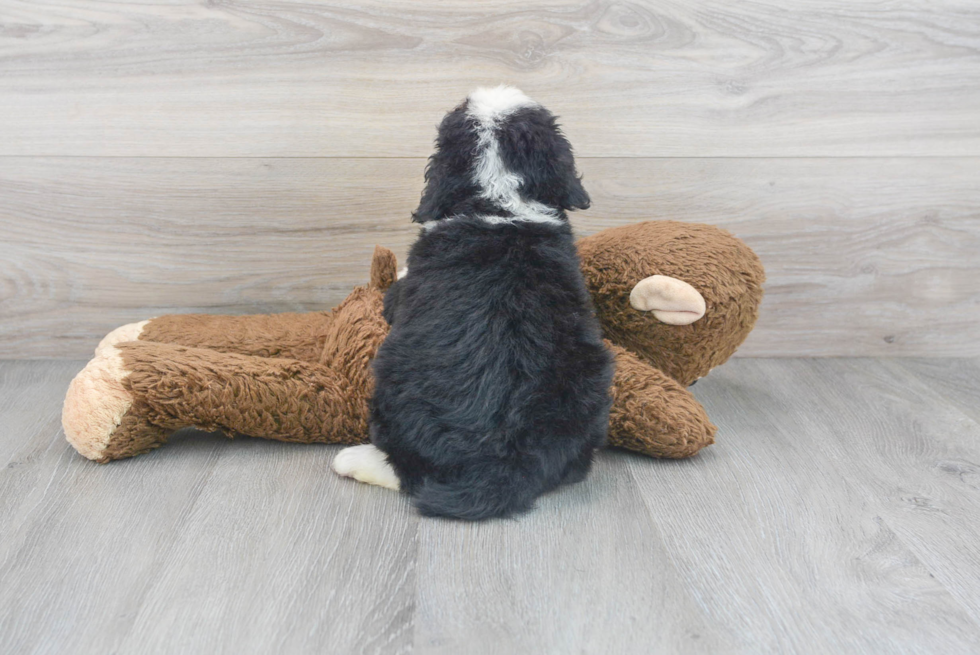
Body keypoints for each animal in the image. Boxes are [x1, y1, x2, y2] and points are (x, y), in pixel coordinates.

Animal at [334, 86, 616, 524]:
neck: (499, 201)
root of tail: (502, 462)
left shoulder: (402, 296)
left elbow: (395, 291)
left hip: (387, 386)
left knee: (406, 470)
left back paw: (352, 460)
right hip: (593, 380)